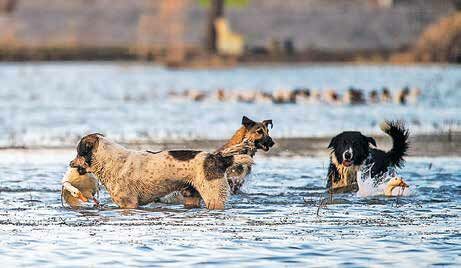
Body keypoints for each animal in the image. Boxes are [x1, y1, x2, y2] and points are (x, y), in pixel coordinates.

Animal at [69, 134, 253, 209]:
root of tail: (217, 158)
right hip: (191, 196)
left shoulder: (129, 203)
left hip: (214, 197)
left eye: (79, 152)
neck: (109, 162)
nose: (70, 163)